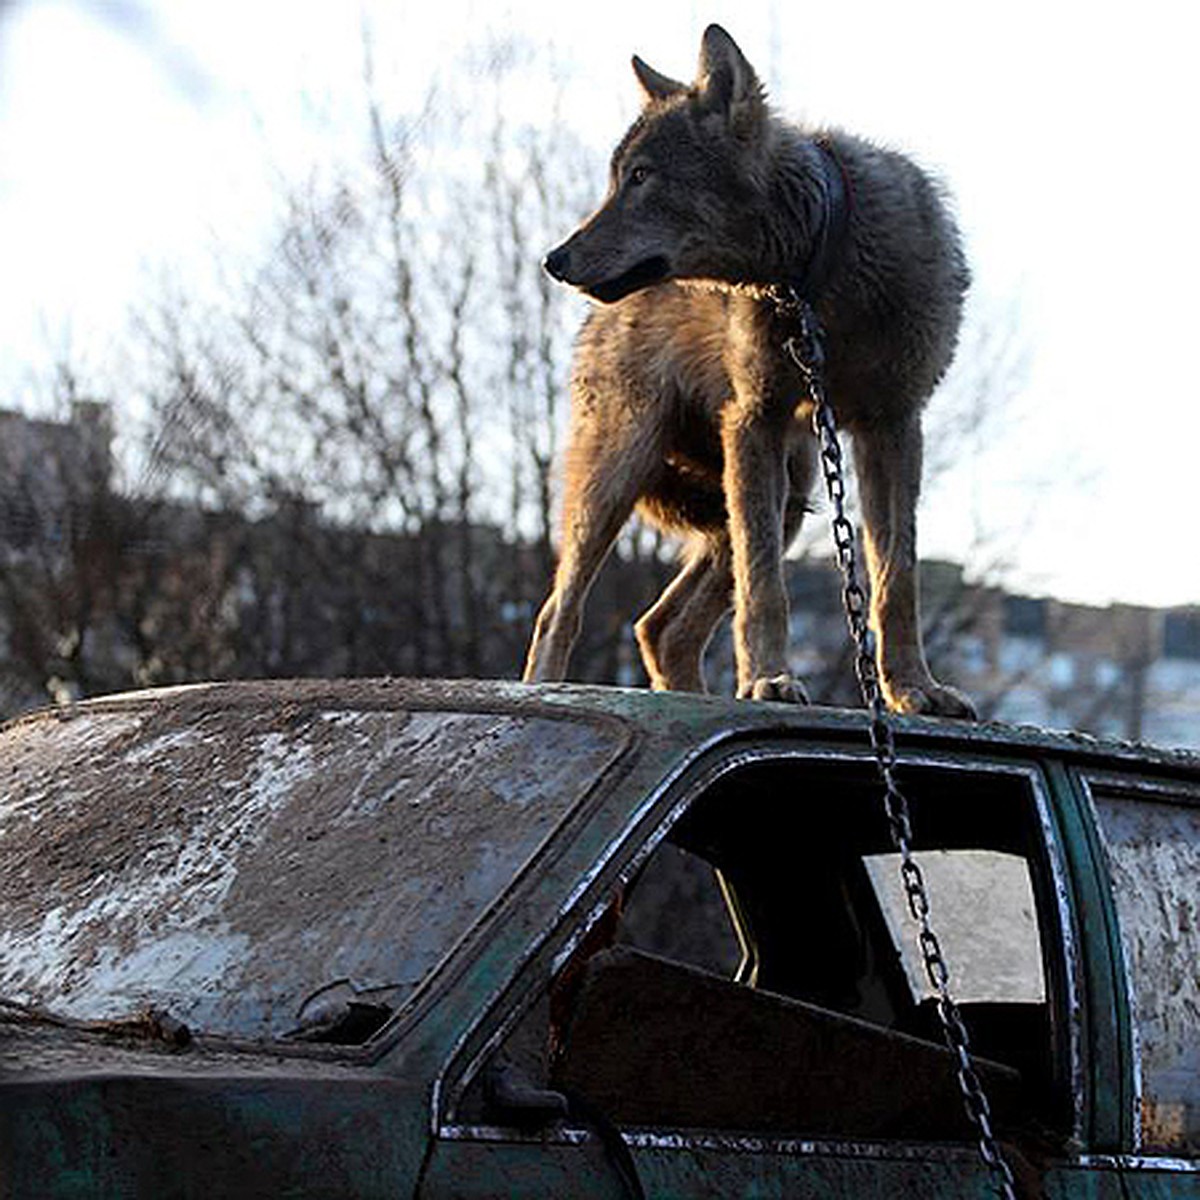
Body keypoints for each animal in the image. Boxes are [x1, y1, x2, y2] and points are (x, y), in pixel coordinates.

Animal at [523, 25, 974, 720]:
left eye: (641, 177)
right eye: (617, 178)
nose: (554, 259)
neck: (817, 274)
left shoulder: (894, 425)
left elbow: (896, 579)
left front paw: (914, 690)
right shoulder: (754, 421)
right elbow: (767, 588)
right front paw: (769, 681)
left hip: (787, 494)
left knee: (660, 628)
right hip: (621, 474)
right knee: (558, 612)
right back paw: (546, 690)